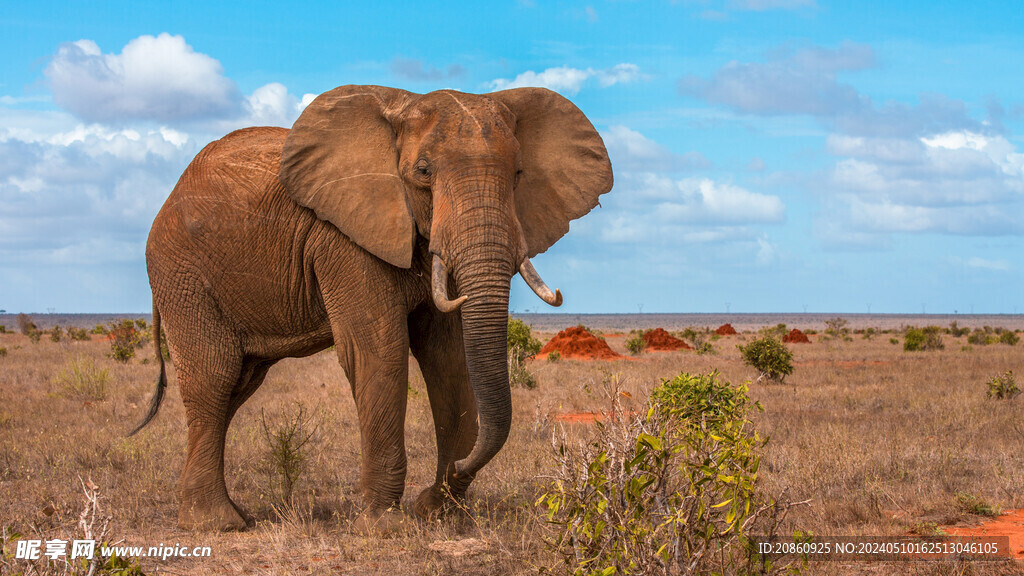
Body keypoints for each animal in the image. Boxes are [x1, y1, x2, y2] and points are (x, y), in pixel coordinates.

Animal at [132, 84, 610, 528]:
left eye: (518, 173)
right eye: (423, 173)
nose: (454, 472)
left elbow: (449, 359)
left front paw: (438, 513)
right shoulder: (343, 240)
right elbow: (381, 353)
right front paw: (385, 524)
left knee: (237, 387)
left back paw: (228, 514)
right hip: (182, 275)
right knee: (214, 378)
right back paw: (217, 523)